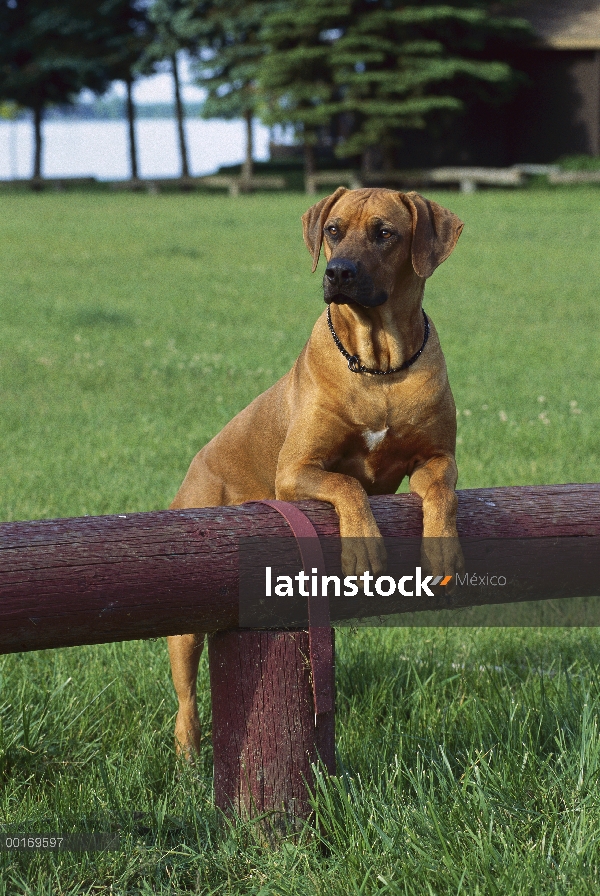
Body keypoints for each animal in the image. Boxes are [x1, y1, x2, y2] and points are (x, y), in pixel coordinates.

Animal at [168, 189, 464, 756]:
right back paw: (189, 750)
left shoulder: (438, 455)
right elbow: (345, 483)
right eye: (332, 230)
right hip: (189, 619)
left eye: (384, 233)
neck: (380, 365)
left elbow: (440, 485)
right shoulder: (296, 471)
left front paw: (441, 546)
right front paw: (364, 547)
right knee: (186, 692)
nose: (338, 272)